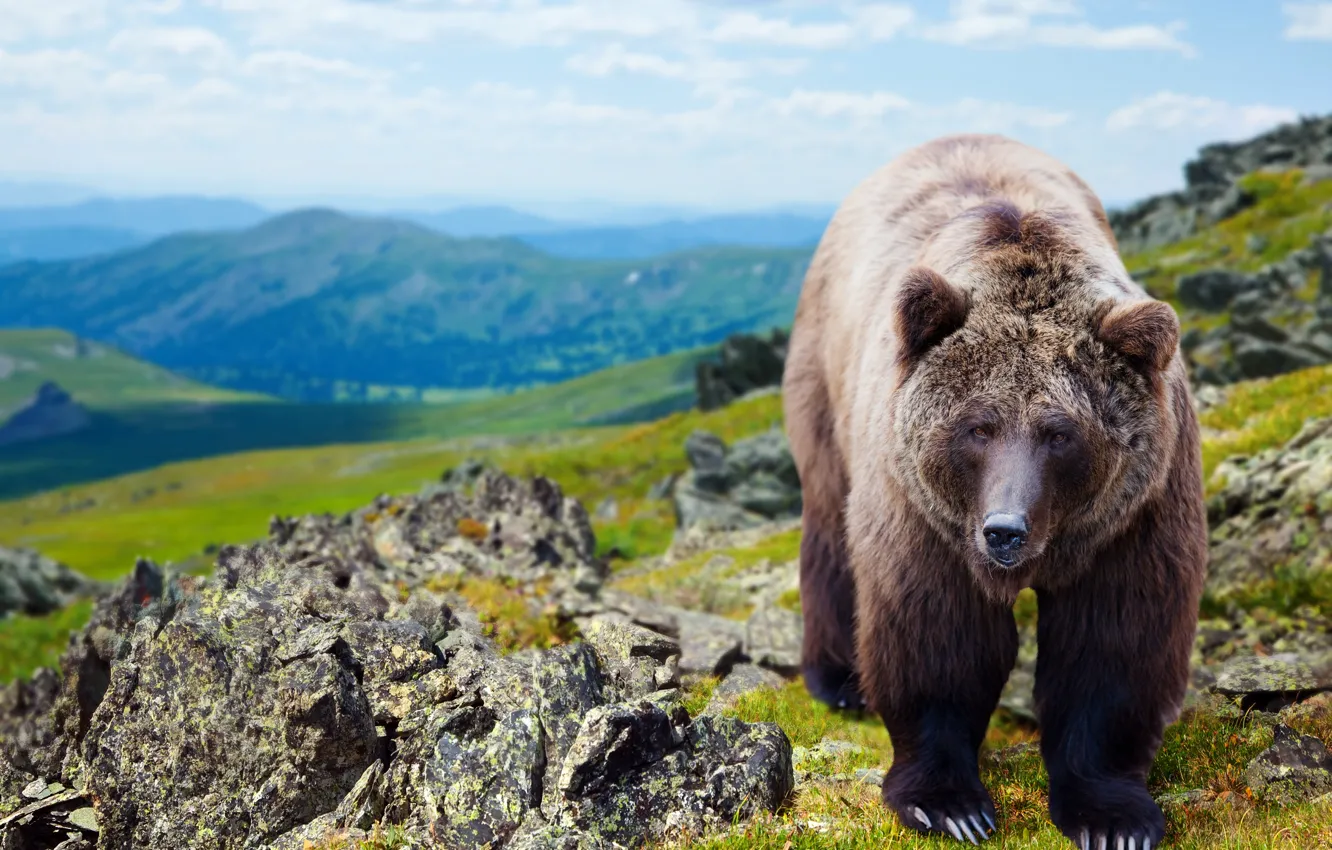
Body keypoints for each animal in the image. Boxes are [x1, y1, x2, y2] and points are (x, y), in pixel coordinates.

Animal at [782, 134, 1208, 848]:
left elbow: (1115, 640)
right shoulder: (924, 512)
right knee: (830, 525)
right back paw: (839, 678)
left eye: (1060, 433)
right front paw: (949, 804)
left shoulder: (1135, 512)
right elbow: (936, 631)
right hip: (826, 378)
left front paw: (1113, 816)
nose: (1004, 530)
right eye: (977, 426)